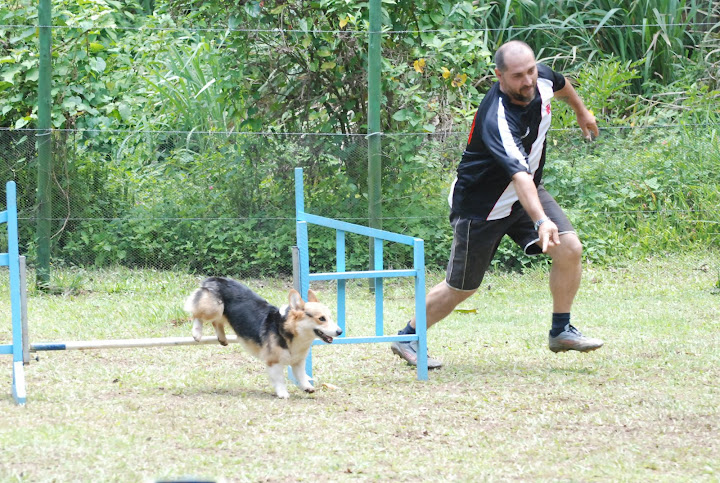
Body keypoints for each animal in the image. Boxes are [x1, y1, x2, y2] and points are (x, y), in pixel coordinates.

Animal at [186, 278, 344, 398]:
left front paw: (307, 387)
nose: (340, 332)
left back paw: (222, 338)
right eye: (321, 319)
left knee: (216, 322)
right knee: (196, 315)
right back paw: (197, 333)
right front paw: (283, 394)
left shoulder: (298, 362)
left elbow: (301, 376)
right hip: (214, 308)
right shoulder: (273, 362)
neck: (290, 332)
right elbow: (279, 379)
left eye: (330, 317)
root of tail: (213, 279)